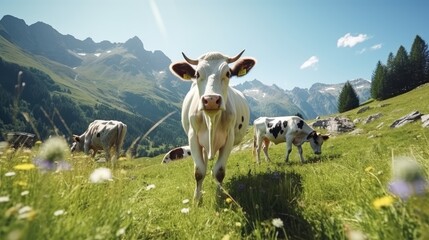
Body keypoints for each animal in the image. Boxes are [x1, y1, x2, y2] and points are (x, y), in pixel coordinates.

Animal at [168, 49, 254, 203]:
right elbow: (199, 171)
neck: (211, 120)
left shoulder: (229, 139)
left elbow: (219, 172)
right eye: (197, 74)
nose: (212, 100)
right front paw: (197, 200)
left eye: (228, 73)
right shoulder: (193, 138)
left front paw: (220, 197)